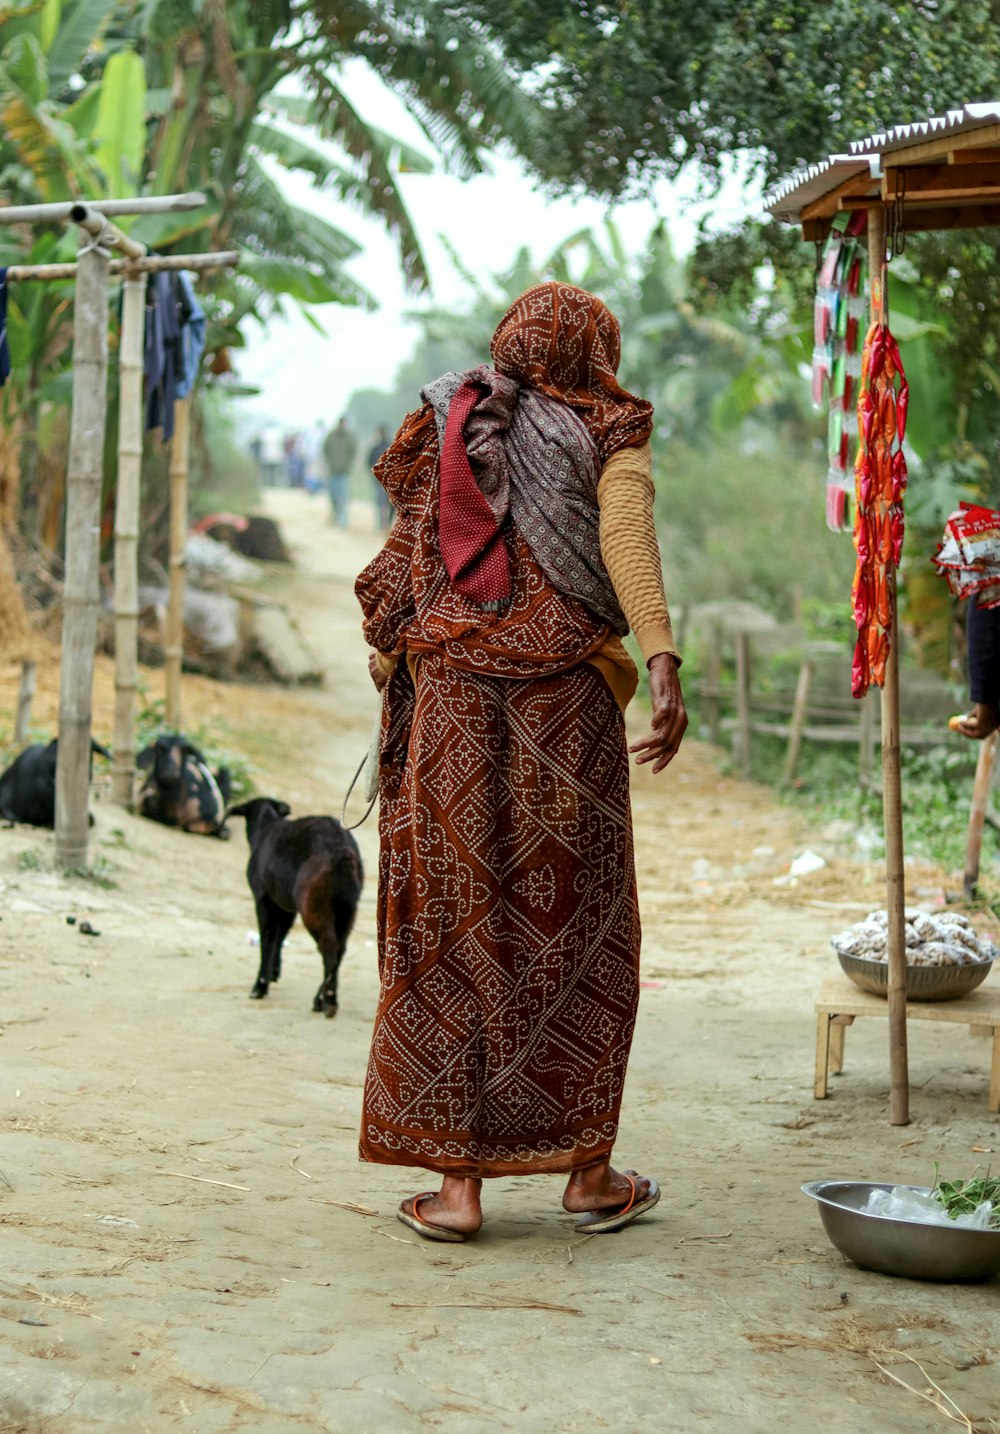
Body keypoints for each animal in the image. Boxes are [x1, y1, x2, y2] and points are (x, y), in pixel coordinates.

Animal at [229, 797, 362, 1021]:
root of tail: (343, 853)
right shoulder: (286, 906)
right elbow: (280, 936)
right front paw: (273, 973)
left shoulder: (263, 899)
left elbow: (267, 938)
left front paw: (260, 985)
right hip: (347, 909)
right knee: (339, 949)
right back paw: (323, 999)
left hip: (313, 906)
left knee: (328, 945)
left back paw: (328, 1000)